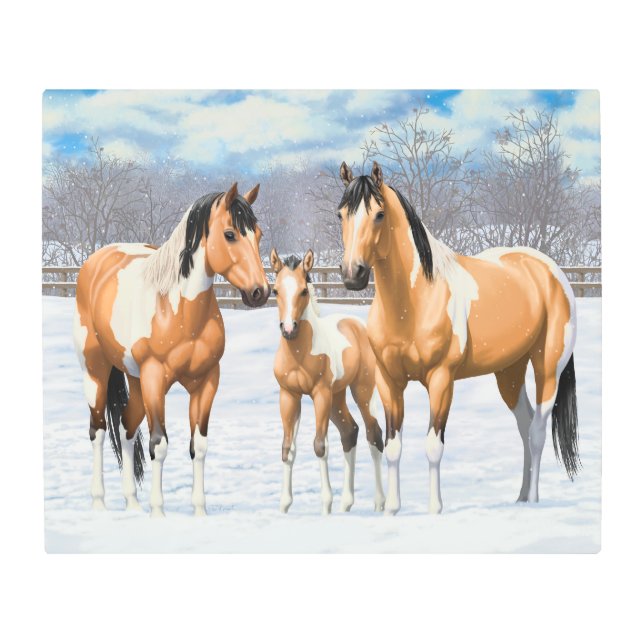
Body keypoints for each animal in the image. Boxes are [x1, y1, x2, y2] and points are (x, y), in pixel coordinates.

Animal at [73, 182, 270, 517]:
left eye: (258, 234)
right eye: (230, 234)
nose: (260, 292)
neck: (177, 309)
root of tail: (96, 261)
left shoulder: (206, 381)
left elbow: (199, 446)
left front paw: (200, 511)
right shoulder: (155, 378)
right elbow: (159, 445)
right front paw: (158, 512)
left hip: (135, 380)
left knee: (126, 428)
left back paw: (132, 503)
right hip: (96, 370)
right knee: (98, 431)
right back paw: (99, 503)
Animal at [270, 248, 386, 514]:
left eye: (303, 290)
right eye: (276, 290)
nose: (288, 329)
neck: (300, 353)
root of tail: (358, 325)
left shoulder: (319, 394)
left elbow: (320, 445)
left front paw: (326, 505)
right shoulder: (289, 395)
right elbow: (287, 448)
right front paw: (284, 505)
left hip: (361, 391)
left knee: (373, 434)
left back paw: (380, 503)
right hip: (337, 398)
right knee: (350, 432)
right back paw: (346, 504)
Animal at [335, 161, 580, 515]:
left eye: (379, 214)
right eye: (340, 214)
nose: (352, 274)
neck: (413, 301)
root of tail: (550, 270)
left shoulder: (441, 380)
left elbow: (433, 446)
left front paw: (435, 509)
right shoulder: (388, 381)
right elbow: (393, 446)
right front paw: (392, 509)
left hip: (547, 368)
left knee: (536, 430)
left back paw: (533, 499)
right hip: (509, 373)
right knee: (524, 425)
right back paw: (520, 496)